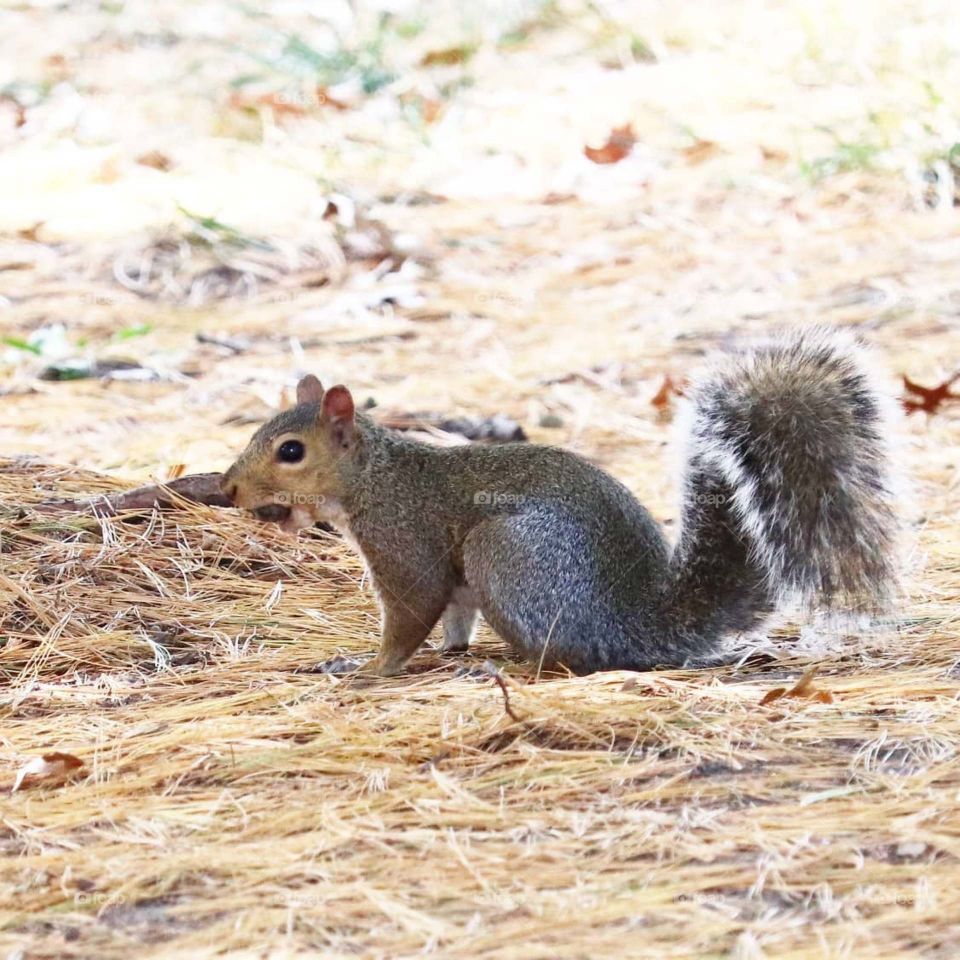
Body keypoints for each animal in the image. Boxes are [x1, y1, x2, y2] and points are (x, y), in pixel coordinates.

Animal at [220, 328, 900, 677]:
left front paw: (369, 668)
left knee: (565, 656)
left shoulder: (403, 539)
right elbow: (454, 618)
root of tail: (631, 626)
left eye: (289, 452)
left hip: (505, 552)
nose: (227, 489)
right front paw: (450, 651)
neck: (372, 476)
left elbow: (412, 611)